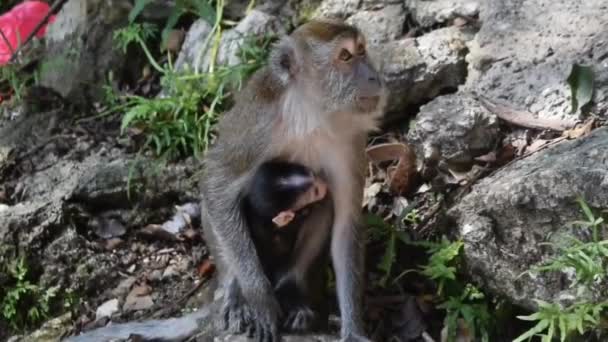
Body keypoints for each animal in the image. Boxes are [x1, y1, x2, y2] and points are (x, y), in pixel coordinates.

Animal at [201, 18, 390, 342]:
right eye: (345, 56)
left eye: (361, 51)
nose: (374, 77)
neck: (310, 114)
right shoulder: (259, 127)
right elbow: (216, 182)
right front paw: (260, 300)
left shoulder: (348, 142)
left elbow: (345, 225)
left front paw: (353, 328)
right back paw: (235, 292)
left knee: (325, 204)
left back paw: (295, 295)